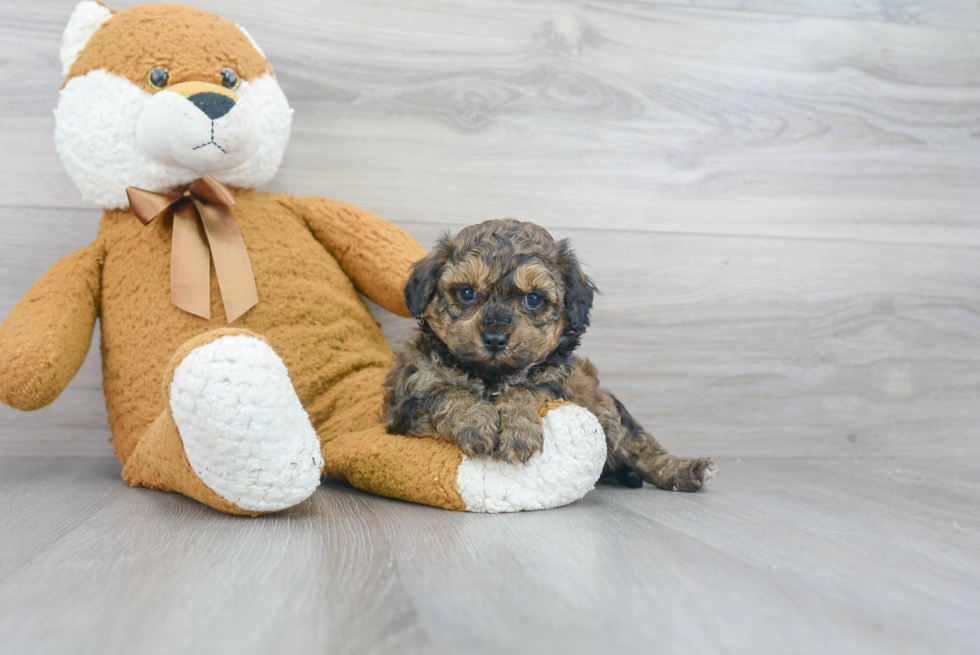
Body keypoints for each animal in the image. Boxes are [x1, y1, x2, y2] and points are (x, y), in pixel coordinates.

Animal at [380, 220, 712, 492]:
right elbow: (447, 392)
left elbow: (524, 391)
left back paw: (686, 471)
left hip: (609, 411)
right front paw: (476, 423)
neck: (491, 375)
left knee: (640, 447)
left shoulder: (553, 383)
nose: (495, 338)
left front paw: (518, 432)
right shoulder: (407, 401)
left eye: (534, 299)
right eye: (467, 293)